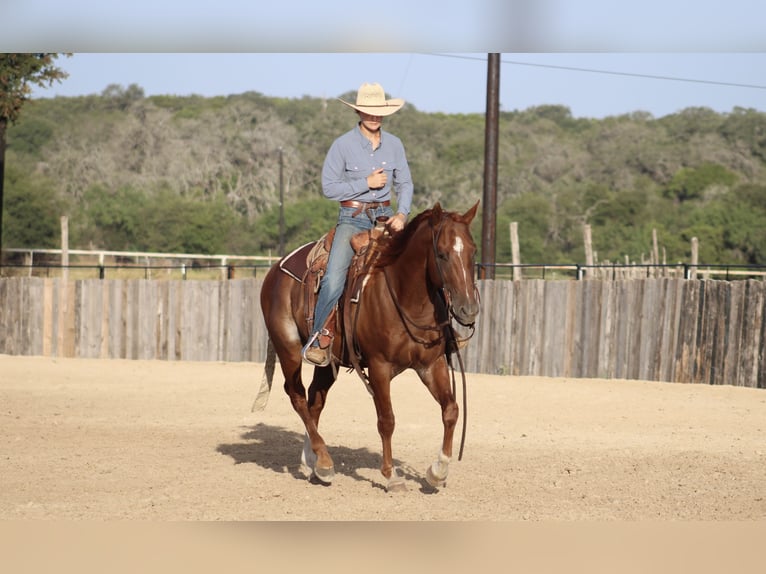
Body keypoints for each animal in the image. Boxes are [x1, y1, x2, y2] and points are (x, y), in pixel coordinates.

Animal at [257, 202, 480, 491]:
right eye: (441, 254)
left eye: (473, 251)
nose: (468, 309)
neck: (406, 297)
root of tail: (275, 270)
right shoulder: (378, 367)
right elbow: (387, 420)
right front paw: (391, 475)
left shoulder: (431, 364)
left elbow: (451, 409)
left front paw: (438, 471)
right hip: (288, 348)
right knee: (297, 397)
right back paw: (324, 461)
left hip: (327, 362)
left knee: (315, 400)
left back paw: (314, 463)